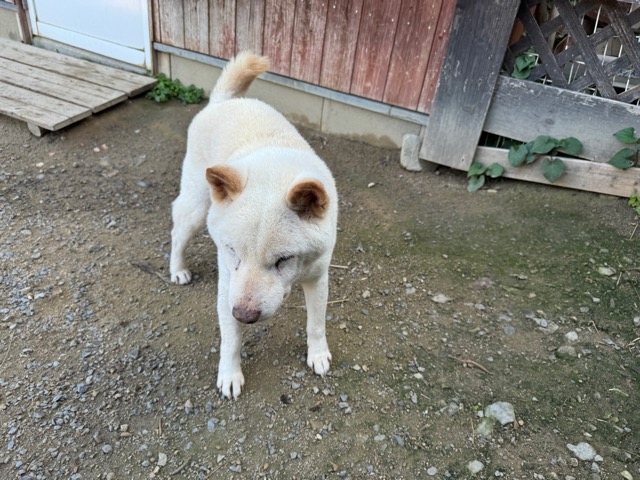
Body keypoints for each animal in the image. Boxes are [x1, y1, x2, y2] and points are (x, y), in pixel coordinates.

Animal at [169, 52, 338, 399]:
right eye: (233, 251)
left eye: (283, 260)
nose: (244, 316)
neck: (273, 170)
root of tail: (223, 102)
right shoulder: (228, 286)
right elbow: (230, 339)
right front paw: (230, 374)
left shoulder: (318, 276)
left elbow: (316, 324)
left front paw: (317, 355)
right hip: (196, 206)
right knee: (178, 230)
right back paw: (177, 268)